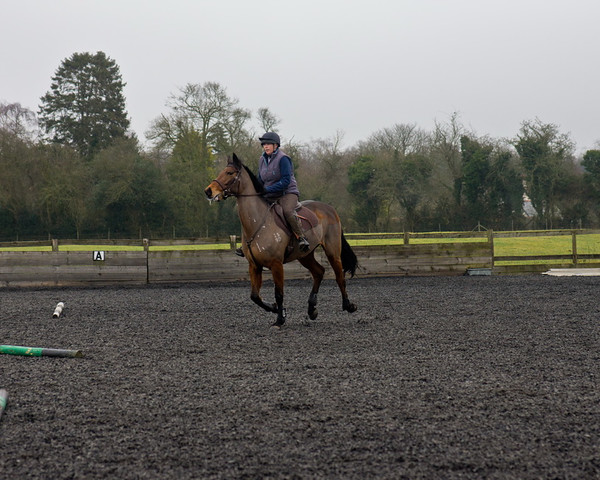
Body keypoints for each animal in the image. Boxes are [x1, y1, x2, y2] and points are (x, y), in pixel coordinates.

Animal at [204, 154, 358, 326]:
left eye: (229, 173)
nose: (208, 191)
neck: (258, 222)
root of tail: (330, 209)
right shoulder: (254, 266)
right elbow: (255, 296)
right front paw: (275, 308)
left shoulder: (276, 264)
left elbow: (279, 293)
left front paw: (280, 319)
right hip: (305, 255)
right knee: (319, 272)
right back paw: (312, 309)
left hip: (332, 252)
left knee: (339, 277)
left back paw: (348, 305)